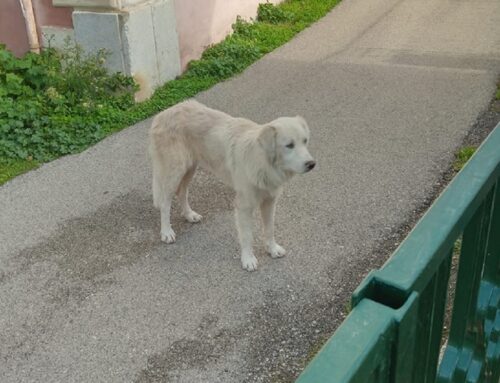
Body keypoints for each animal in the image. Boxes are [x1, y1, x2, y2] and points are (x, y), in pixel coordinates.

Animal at [147, 100, 316, 272]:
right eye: (289, 145)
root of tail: (163, 114)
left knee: (182, 192)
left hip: (190, 168)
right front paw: (248, 259)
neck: (263, 161)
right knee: (165, 203)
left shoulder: (269, 201)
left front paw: (272, 249)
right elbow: (247, 236)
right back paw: (166, 232)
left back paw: (189, 215)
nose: (311, 164)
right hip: (175, 172)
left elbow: (269, 229)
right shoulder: (244, 206)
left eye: (305, 141)